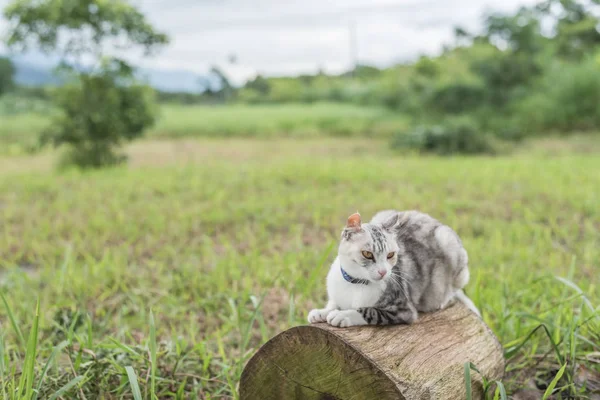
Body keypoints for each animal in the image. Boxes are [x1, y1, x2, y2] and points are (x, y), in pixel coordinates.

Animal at [308, 211, 480, 326]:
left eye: (390, 255)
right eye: (367, 254)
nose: (383, 272)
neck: (355, 284)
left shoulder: (403, 309)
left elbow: (369, 311)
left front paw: (343, 315)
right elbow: (333, 303)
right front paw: (321, 312)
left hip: (449, 247)